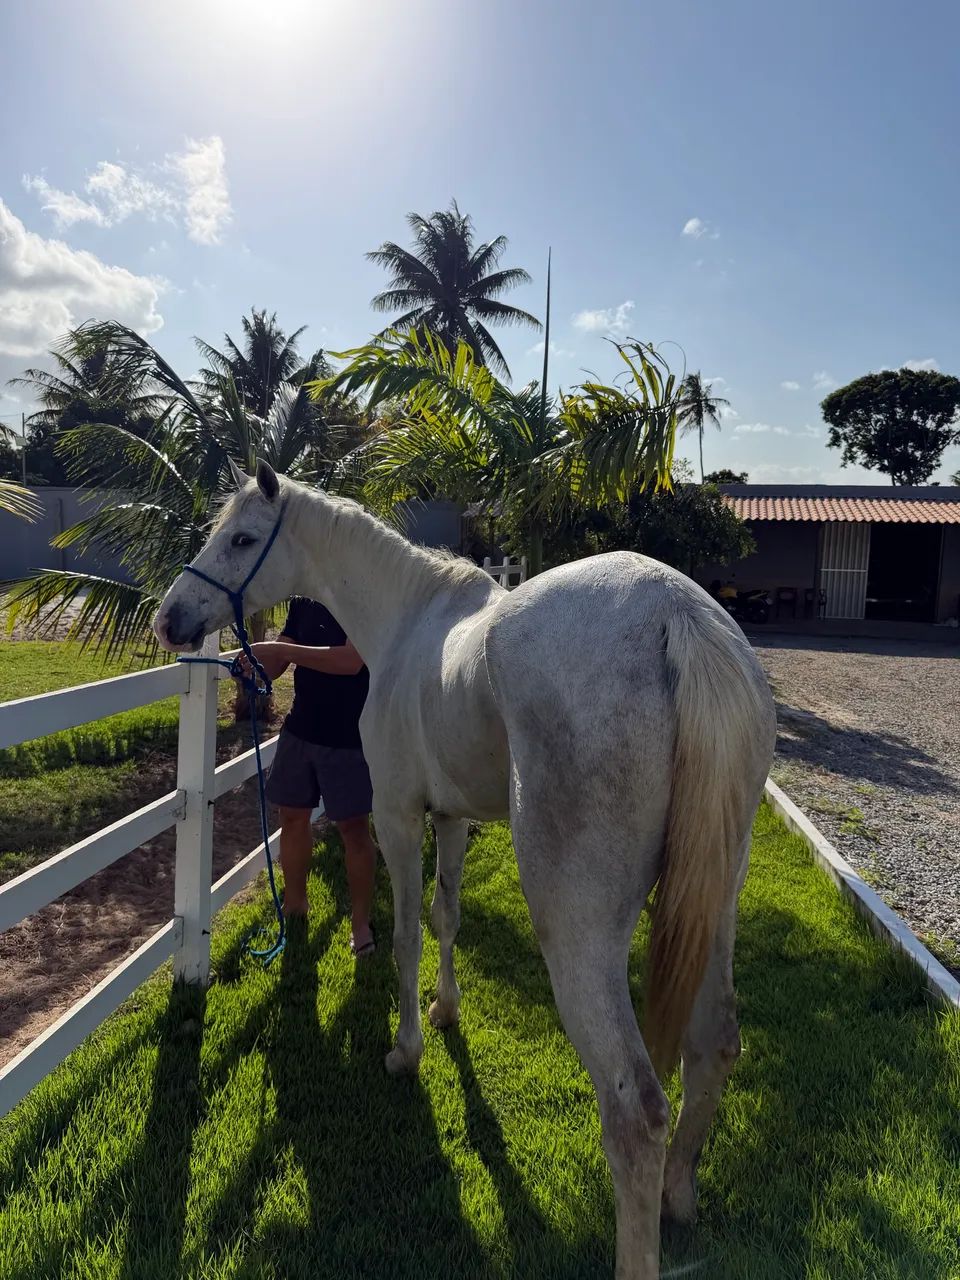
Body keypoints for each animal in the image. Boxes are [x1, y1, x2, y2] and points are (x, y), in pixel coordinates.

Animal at [153, 459, 776, 1280]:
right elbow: (447, 915)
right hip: (714, 903)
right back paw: (679, 1197)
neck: (408, 621)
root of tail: (679, 621)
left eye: (243, 539)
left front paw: (406, 1049)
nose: (171, 619)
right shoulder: (451, 818)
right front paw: (447, 1012)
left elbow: (407, 934)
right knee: (714, 1047)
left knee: (635, 1111)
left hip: (578, 931)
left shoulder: (397, 815)